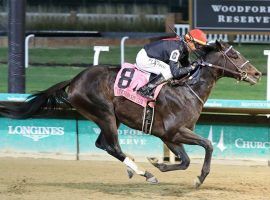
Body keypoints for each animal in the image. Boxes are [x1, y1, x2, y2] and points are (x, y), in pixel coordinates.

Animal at [0, 40, 262, 188]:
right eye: (234, 55)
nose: (257, 74)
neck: (188, 88)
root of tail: (74, 81)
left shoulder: (169, 136)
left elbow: (186, 160)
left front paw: (160, 163)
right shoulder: (175, 131)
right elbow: (208, 145)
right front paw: (198, 178)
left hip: (110, 118)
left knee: (103, 145)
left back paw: (134, 168)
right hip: (104, 114)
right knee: (113, 146)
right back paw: (145, 173)